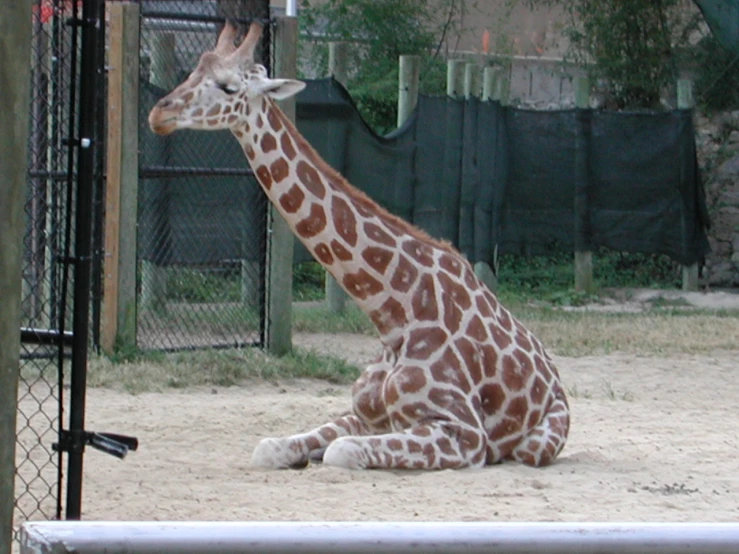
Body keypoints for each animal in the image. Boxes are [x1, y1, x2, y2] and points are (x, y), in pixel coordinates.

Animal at [147, 22, 568, 470]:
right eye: (193, 71)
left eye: (227, 86)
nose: (159, 113)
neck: (394, 316)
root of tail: (555, 372)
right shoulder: (363, 414)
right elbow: (269, 448)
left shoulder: (465, 434)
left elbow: (341, 451)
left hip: (535, 444)